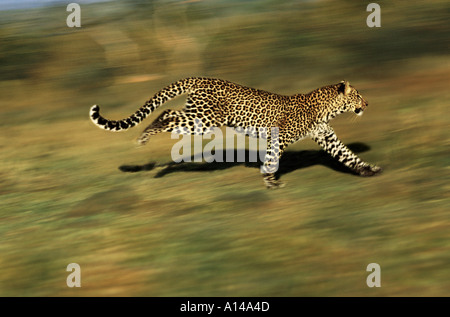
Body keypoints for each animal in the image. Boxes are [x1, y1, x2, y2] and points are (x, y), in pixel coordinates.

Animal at [89, 77, 382, 188]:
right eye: (358, 95)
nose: (368, 104)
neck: (326, 109)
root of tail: (200, 78)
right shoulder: (279, 139)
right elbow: (272, 160)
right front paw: (270, 182)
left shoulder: (328, 138)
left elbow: (348, 156)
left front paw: (370, 170)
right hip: (203, 120)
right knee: (166, 113)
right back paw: (145, 135)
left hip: (199, 117)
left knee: (169, 112)